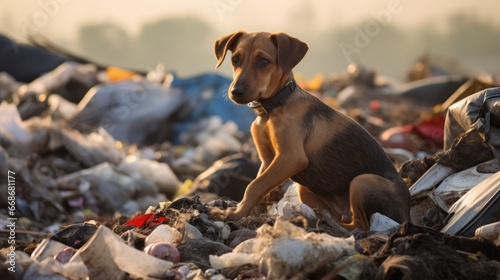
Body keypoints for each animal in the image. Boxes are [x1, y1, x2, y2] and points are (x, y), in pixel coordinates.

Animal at [213, 30, 412, 230]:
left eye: (263, 61)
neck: (273, 107)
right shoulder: (268, 159)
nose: (236, 92)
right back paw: (321, 217)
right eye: (235, 59)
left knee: (360, 224)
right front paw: (248, 211)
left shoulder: (291, 157)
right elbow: (260, 183)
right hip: (306, 190)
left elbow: (254, 186)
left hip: (361, 181)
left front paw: (236, 214)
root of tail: (407, 217)